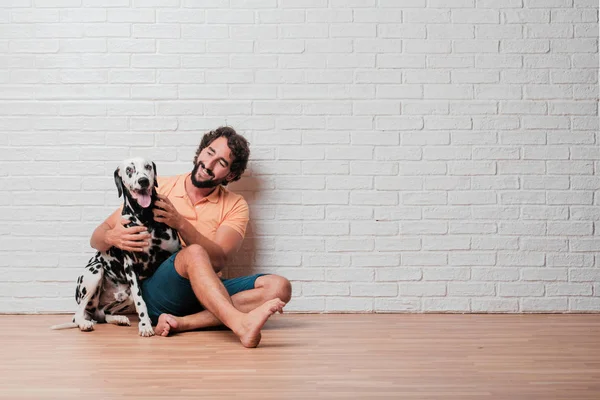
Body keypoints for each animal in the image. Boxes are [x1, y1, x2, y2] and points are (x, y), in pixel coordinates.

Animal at [51, 158, 180, 336]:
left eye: (148, 166)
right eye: (129, 170)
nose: (143, 181)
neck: (145, 217)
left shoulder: (174, 253)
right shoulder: (130, 267)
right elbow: (141, 301)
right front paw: (145, 325)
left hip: (124, 295)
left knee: (103, 314)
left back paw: (119, 319)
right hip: (95, 271)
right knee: (79, 314)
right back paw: (84, 323)